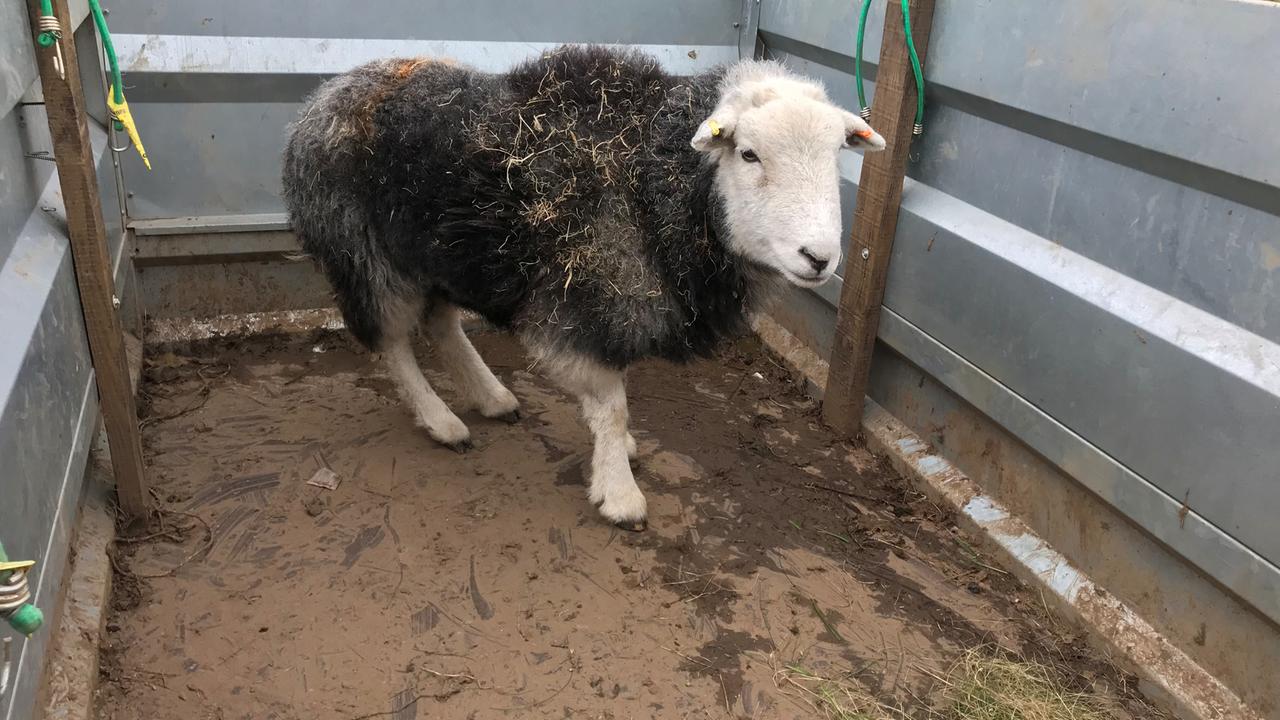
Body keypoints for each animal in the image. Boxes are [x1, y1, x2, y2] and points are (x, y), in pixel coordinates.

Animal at [281, 45, 885, 530]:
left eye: (837, 154)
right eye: (749, 152)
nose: (819, 258)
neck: (652, 179)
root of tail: (326, 92)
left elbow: (615, 401)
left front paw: (621, 454)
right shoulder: (579, 304)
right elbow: (610, 406)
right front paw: (620, 494)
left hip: (438, 255)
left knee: (441, 325)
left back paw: (491, 397)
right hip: (365, 255)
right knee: (391, 342)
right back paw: (443, 422)